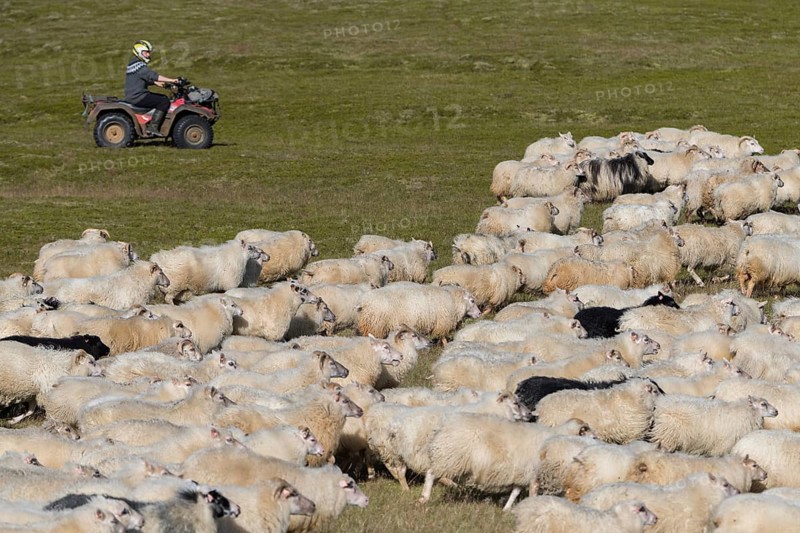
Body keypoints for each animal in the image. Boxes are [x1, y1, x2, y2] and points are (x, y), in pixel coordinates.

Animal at [423, 415, 592, 509]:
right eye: (590, 433)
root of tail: (444, 425)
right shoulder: (534, 474)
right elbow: (532, 492)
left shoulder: (523, 473)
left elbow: (515, 491)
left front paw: (507, 508)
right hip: (449, 457)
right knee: (430, 474)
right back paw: (424, 498)